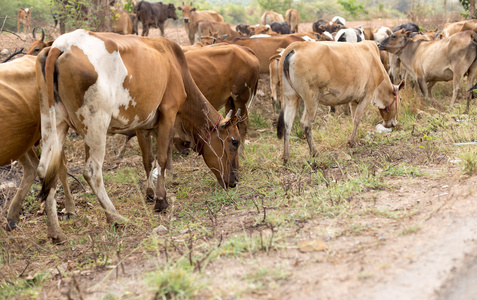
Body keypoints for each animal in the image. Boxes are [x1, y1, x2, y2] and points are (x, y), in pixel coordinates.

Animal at [36, 29, 242, 243]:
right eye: (235, 142)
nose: (234, 181)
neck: (175, 65)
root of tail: (61, 45)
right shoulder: (168, 112)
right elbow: (162, 158)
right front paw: (161, 200)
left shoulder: (143, 124)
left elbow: (148, 160)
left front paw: (150, 193)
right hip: (95, 124)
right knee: (91, 171)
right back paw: (116, 217)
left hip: (53, 122)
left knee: (45, 170)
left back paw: (55, 232)